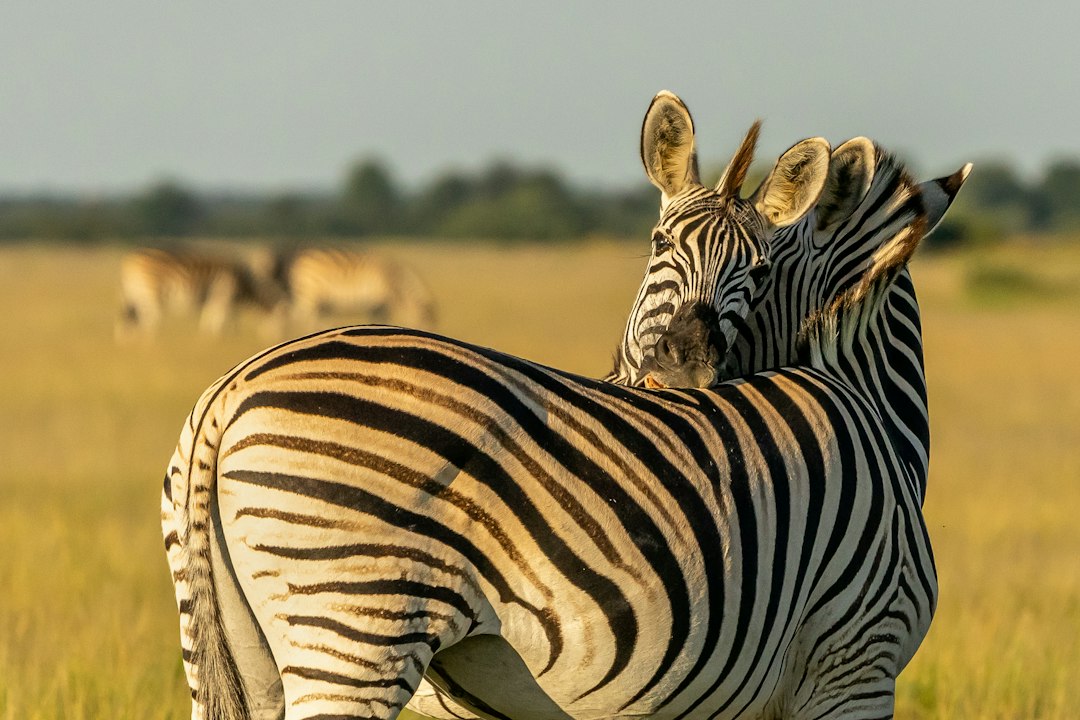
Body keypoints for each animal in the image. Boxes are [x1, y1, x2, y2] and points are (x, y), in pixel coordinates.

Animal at [116, 247, 287, 339]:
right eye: (279, 324)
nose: (277, 339)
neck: (243, 284)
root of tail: (129, 259)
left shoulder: (218, 298)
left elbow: (212, 318)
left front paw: (209, 339)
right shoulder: (224, 294)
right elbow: (222, 320)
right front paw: (221, 338)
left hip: (134, 291)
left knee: (131, 317)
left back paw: (130, 340)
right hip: (150, 290)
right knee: (149, 317)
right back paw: (153, 340)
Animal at [283, 247, 436, 331]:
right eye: (425, 321)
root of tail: (301, 259)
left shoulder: (380, 304)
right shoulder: (383, 301)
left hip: (317, 300)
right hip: (309, 292)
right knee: (299, 316)